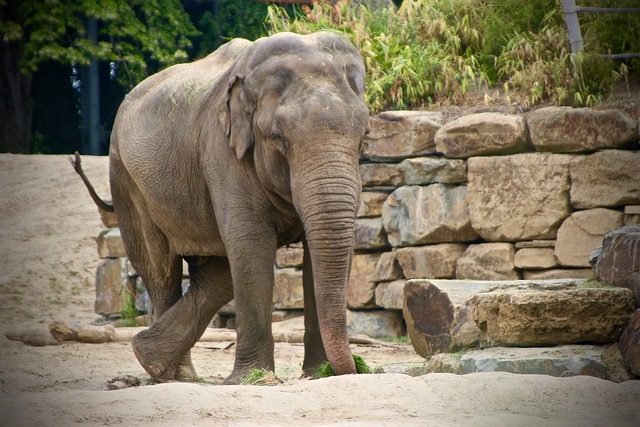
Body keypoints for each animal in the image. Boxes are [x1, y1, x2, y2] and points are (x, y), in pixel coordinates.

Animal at [73, 30, 370, 384]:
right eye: (277, 137)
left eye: (364, 136)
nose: (357, 368)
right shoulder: (223, 152)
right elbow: (252, 244)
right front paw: (252, 379)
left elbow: (319, 250)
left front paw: (319, 376)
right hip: (126, 180)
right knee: (160, 269)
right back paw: (173, 374)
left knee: (217, 273)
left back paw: (154, 359)